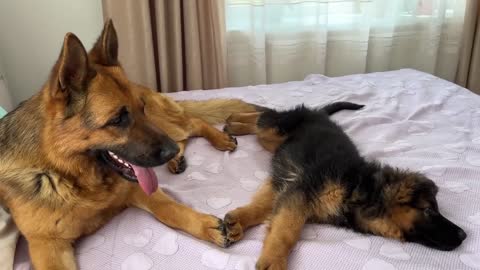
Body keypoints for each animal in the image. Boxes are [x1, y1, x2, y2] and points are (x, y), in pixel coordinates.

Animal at [0, 20, 258, 268]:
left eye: (140, 108)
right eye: (117, 119)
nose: (170, 151)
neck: (70, 173)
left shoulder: (137, 189)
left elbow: (171, 209)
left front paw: (205, 226)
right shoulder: (46, 245)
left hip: (163, 121)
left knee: (193, 123)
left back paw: (215, 140)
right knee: (185, 134)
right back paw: (178, 158)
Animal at [223, 103, 466, 270]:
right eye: (429, 210)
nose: (464, 235)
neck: (362, 188)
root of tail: (319, 113)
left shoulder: (289, 185)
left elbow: (265, 208)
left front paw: (239, 219)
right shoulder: (302, 191)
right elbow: (287, 231)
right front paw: (274, 261)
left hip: (272, 142)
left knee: (262, 120)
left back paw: (234, 122)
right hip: (278, 130)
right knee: (264, 116)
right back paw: (233, 118)